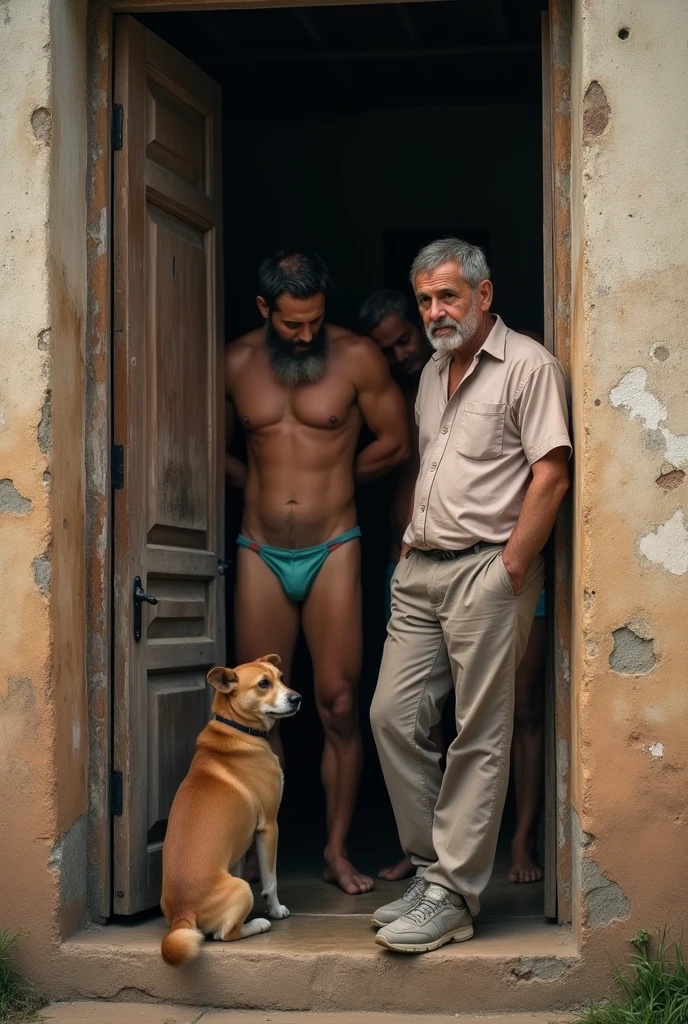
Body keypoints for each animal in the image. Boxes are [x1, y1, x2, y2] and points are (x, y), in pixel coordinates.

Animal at [162, 655, 303, 966]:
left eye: (281, 677)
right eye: (263, 684)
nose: (297, 698)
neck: (237, 730)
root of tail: (182, 911)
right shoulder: (269, 826)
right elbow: (271, 880)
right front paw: (276, 909)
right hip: (242, 889)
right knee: (223, 935)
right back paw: (258, 924)